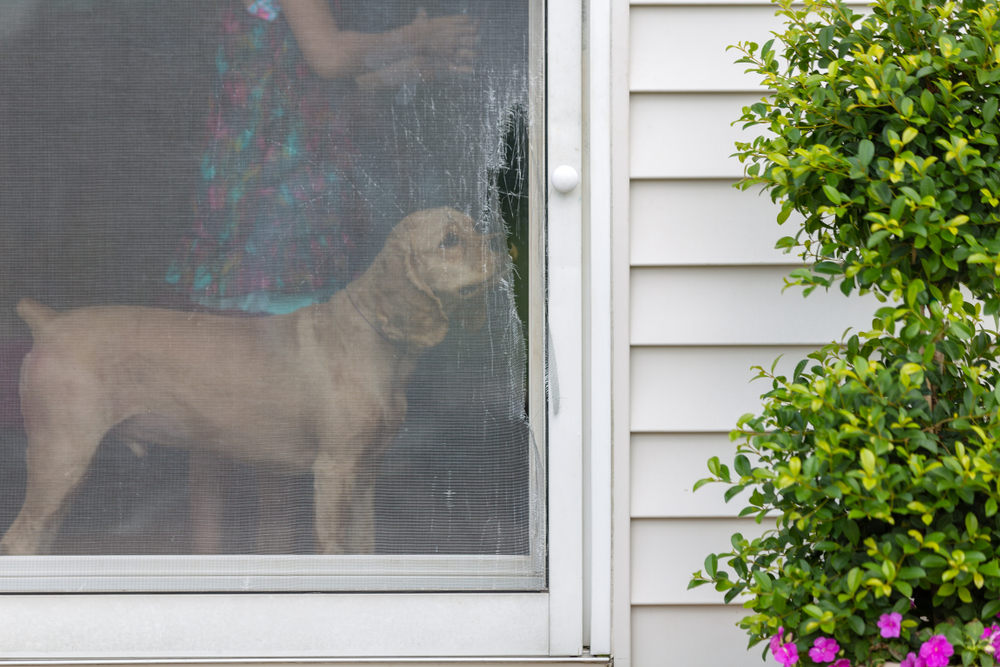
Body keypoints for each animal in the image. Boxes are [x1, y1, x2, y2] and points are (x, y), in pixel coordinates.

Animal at [0, 209, 500, 560]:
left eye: (473, 227)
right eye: (450, 240)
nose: (497, 246)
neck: (376, 339)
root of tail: (49, 323)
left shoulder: (365, 472)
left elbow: (365, 545)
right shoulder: (334, 470)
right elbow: (332, 547)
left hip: (67, 471)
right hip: (60, 457)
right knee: (19, 542)